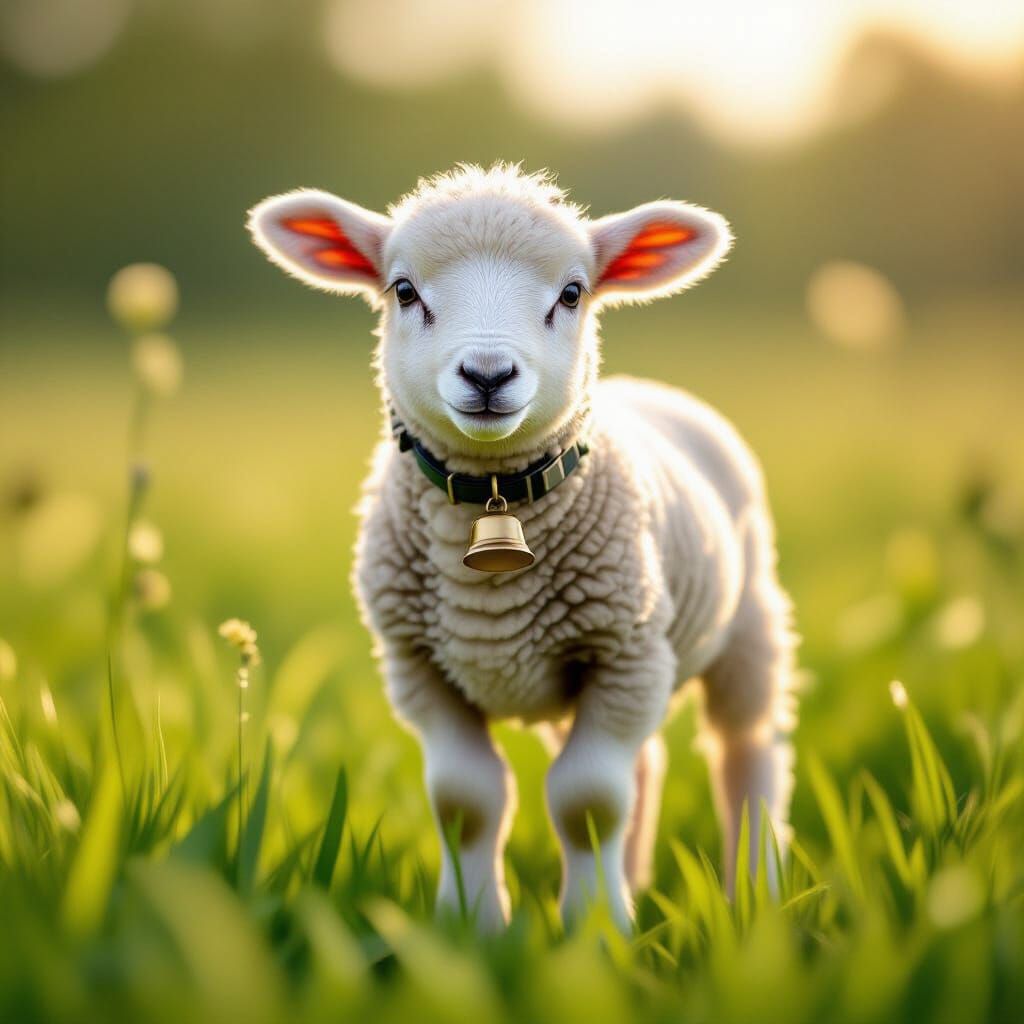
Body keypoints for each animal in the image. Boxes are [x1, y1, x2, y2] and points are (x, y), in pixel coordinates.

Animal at [248, 164, 796, 932]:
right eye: (403, 290)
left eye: (572, 293)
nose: (486, 374)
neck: (492, 500)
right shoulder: (419, 666)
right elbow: (466, 800)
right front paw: (474, 927)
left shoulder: (622, 652)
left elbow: (588, 800)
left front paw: (595, 932)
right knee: (650, 762)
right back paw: (638, 880)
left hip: (747, 628)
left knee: (745, 749)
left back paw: (754, 894)